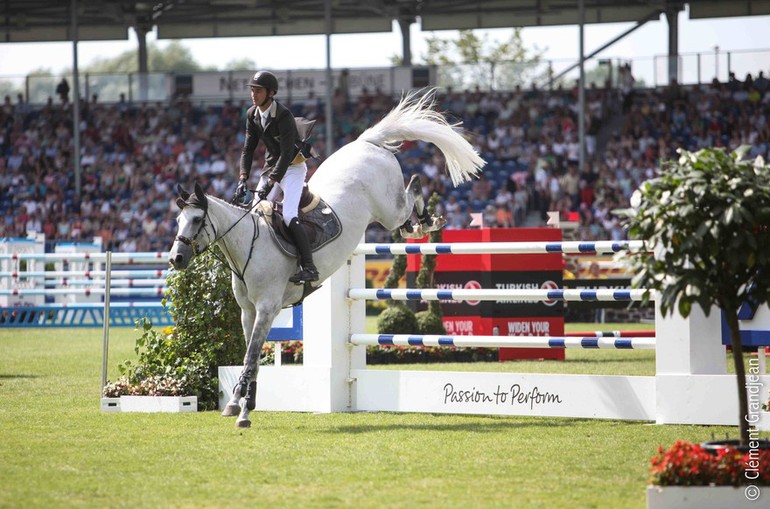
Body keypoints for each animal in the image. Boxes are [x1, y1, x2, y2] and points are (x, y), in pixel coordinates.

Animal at [170, 89, 480, 426]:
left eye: (197, 220)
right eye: (178, 221)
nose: (176, 259)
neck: (248, 245)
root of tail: (366, 142)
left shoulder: (267, 308)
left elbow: (252, 357)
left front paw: (243, 411)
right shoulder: (248, 311)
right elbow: (250, 357)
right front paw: (239, 403)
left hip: (387, 210)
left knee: (413, 187)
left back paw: (427, 221)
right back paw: (418, 225)